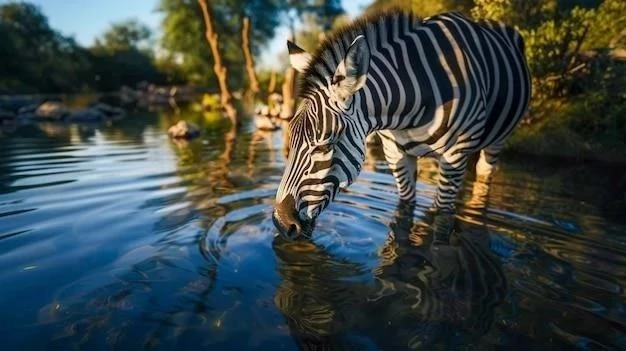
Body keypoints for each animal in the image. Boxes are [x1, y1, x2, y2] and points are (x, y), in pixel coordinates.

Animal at [270, 11, 528, 239]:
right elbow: (404, 212)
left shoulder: (454, 157)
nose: (281, 224)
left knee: (483, 176)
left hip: (496, 141)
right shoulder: (395, 154)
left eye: (326, 144)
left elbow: (443, 222)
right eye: (291, 138)